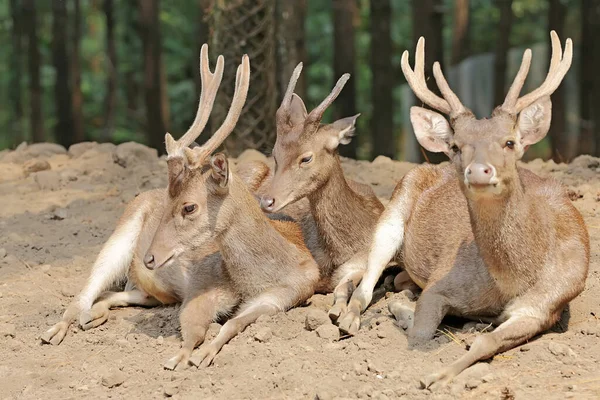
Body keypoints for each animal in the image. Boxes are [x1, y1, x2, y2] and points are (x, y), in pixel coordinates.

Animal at [338, 31, 592, 388]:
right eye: (457, 146)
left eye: (510, 142)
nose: (479, 170)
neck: (512, 281)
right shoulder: (440, 283)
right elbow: (421, 333)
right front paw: (428, 365)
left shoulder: (544, 305)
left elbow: (488, 342)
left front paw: (439, 373)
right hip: (392, 213)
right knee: (362, 281)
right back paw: (347, 315)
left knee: (388, 277)